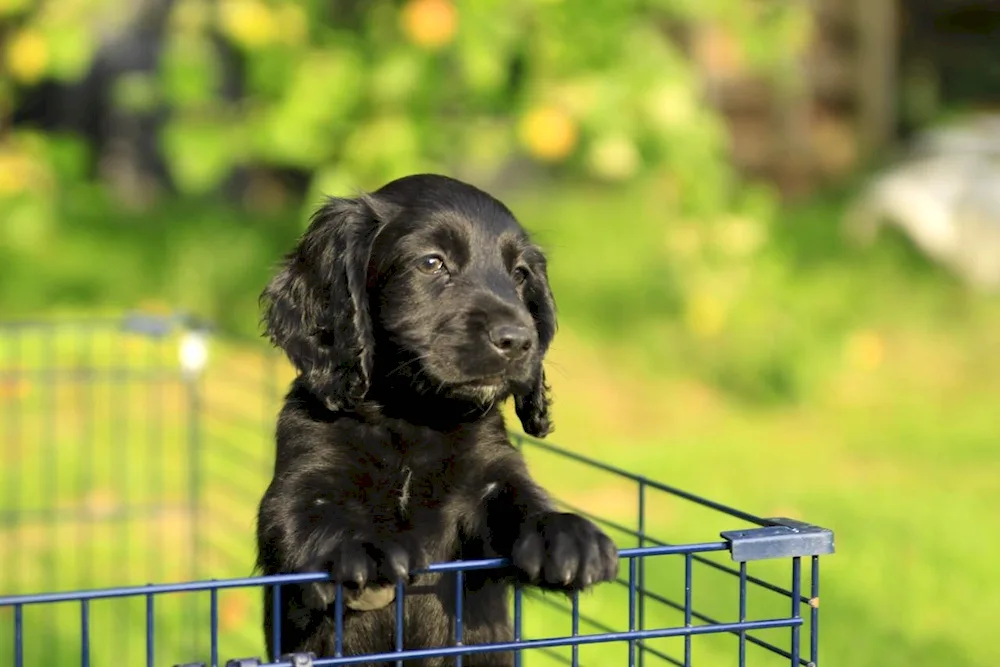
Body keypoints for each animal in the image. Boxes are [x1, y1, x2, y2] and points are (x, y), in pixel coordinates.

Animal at [256, 175, 616, 664]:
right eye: (431, 262)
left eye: (520, 274)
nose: (519, 341)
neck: (415, 419)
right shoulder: (301, 474)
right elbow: (307, 514)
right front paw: (363, 548)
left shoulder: (490, 475)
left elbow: (520, 498)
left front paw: (566, 536)